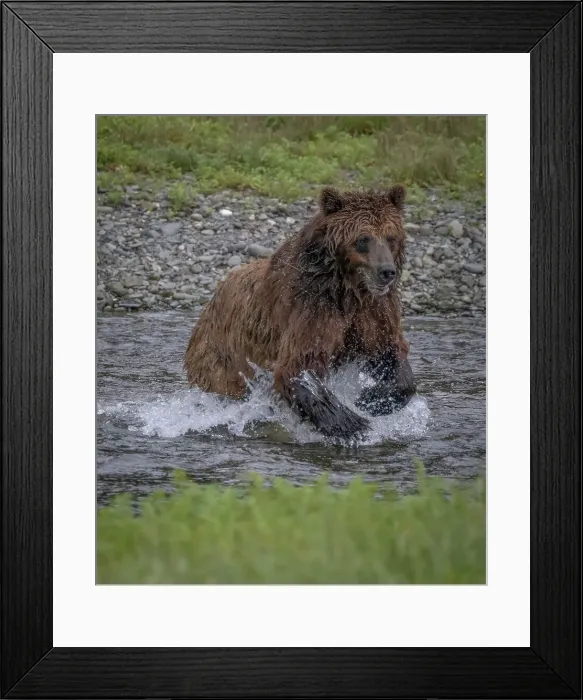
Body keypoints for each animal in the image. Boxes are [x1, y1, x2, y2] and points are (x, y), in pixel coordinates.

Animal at [184, 185, 417, 440]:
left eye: (391, 237)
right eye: (363, 239)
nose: (387, 271)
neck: (347, 290)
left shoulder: (374, 312)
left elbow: (389, 352)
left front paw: (371, 399)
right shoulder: (312, 309)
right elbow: (298, 366)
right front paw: (353, 423)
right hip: (222, 358)